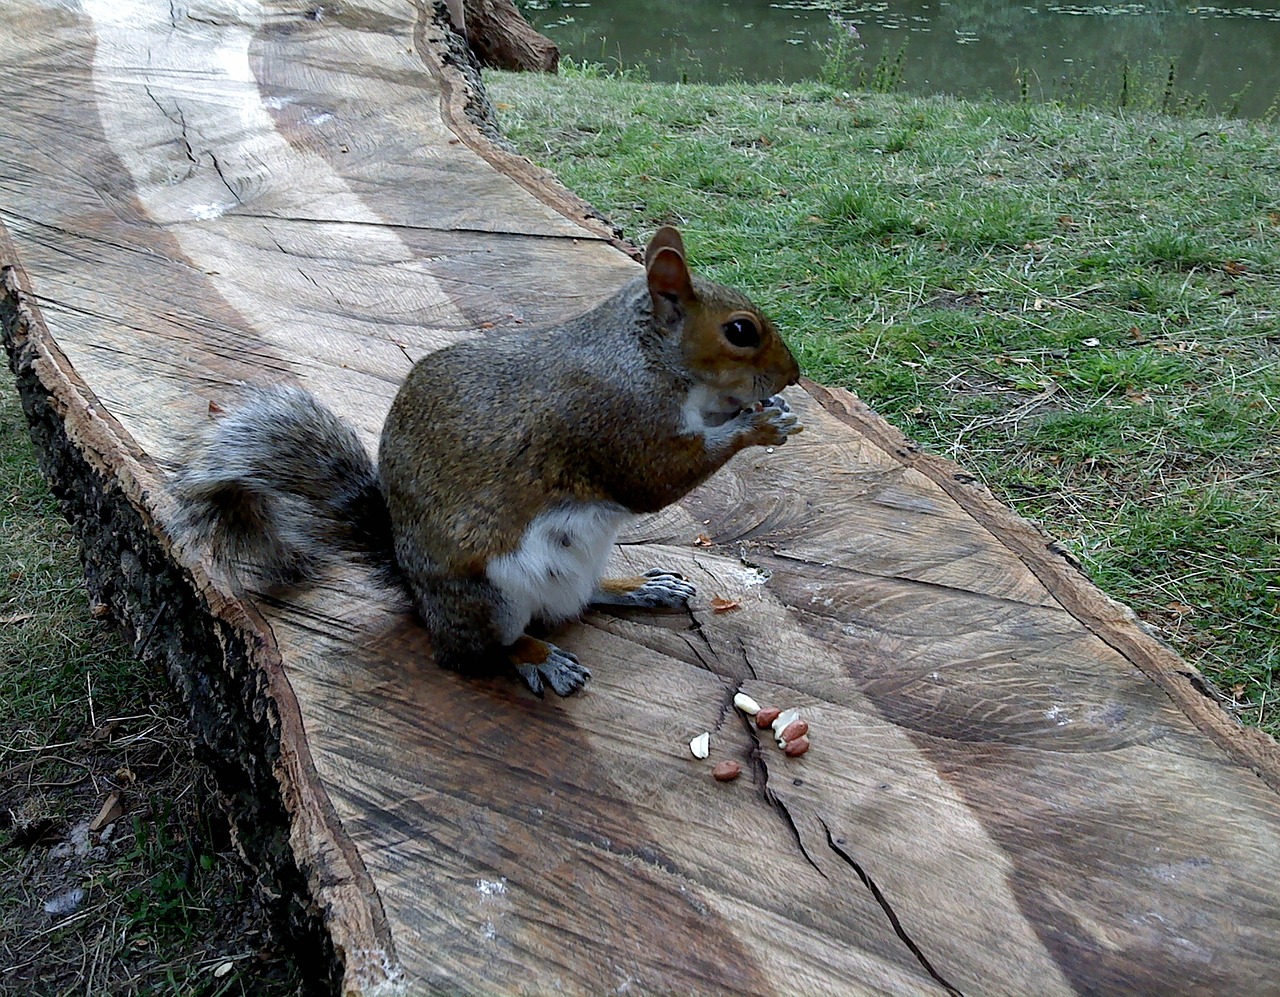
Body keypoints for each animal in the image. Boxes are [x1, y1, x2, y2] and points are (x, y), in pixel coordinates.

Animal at [172, 225, 798, 696]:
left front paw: (772, 412)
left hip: (575, 563)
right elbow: (655, 481)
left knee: (575, 601)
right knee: (477, 650)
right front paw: (758, 427)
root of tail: (421, 598)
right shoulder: (609, 423)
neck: (646, 356)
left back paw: (639, 587)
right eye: (740, 331)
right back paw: (537, 657)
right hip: (486, 598)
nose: (793, 375)